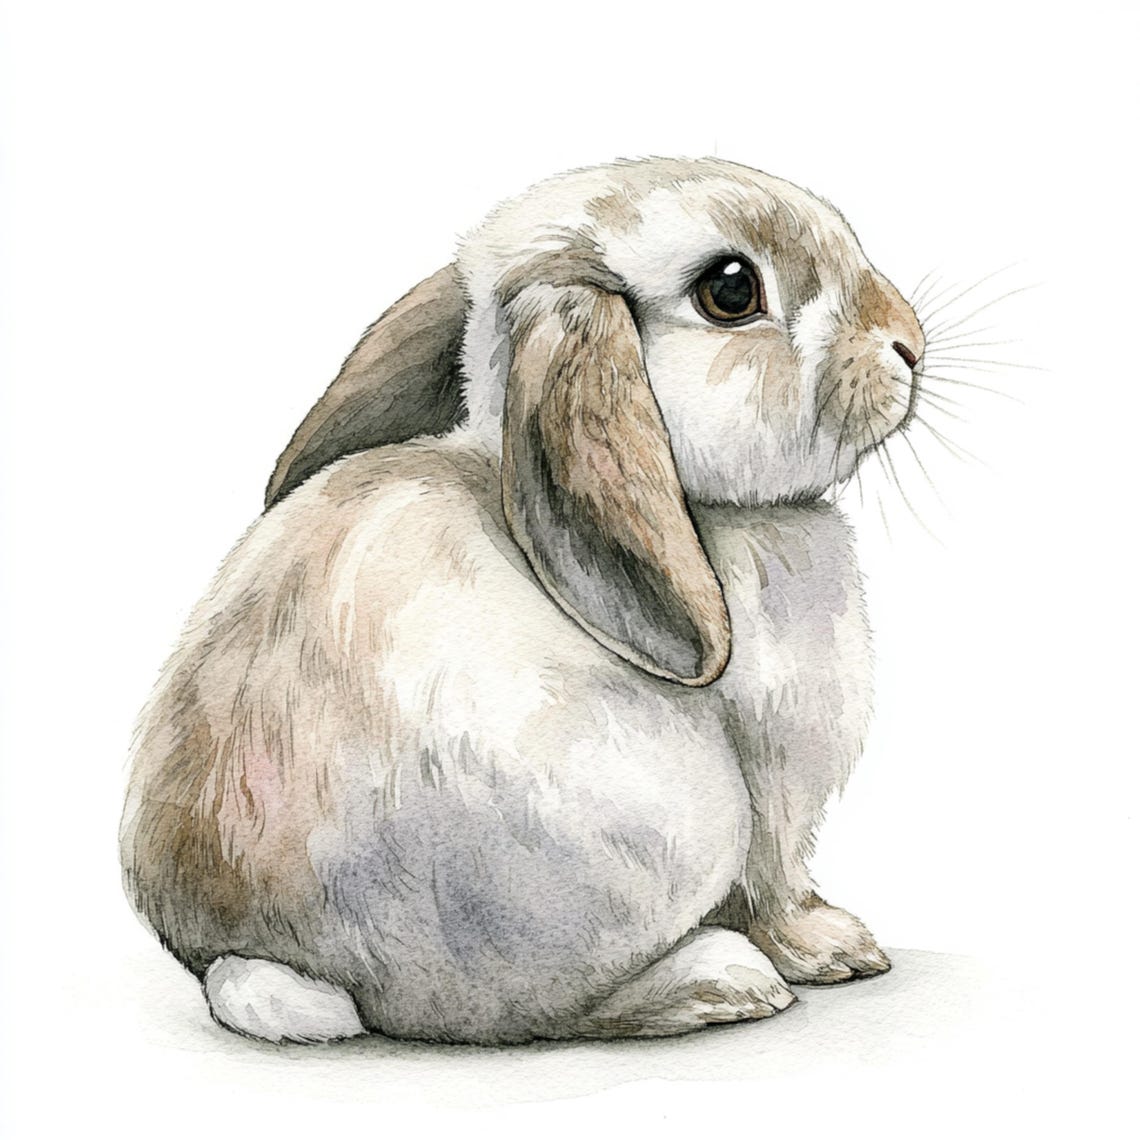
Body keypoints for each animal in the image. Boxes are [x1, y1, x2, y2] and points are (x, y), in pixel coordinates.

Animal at [120, 156, 925, 1045]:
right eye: (731, 291)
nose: (908, 344)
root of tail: (257, 957)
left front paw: (842, 947)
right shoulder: (775, 782)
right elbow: (774, 884)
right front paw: (829, 948)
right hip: (667, 827)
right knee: (537, 1013)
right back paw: (717, 984)